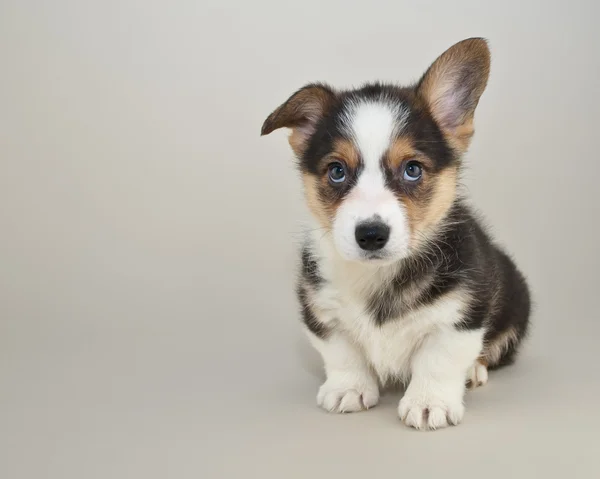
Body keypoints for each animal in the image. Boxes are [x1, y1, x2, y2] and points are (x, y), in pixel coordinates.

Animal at [262, 38, 528, 432]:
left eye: (412, 169)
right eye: (337, 171)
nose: (371, 235)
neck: (377, 275)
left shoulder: (461, 314)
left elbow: (439, 359)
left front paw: (429, 403)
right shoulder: (321, 312)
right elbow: (341, 353)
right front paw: (348, 389)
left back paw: (474, 372)